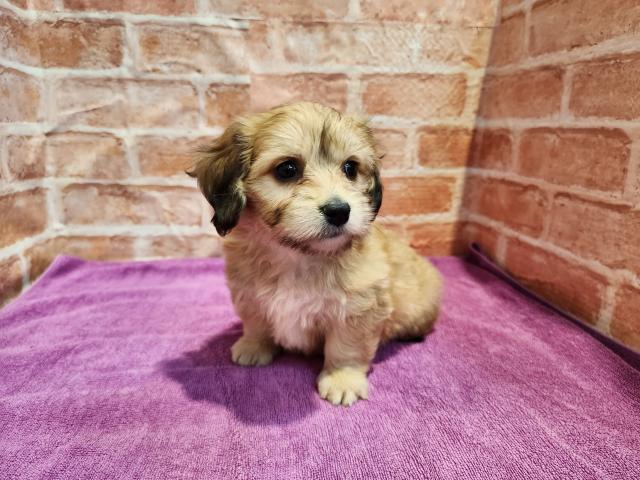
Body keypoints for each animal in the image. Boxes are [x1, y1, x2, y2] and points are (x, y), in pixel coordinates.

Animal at [188, 102, 442, 406]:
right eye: (287, 169)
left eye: (350, 168)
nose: (340, 211)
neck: (299, 254)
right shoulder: (249, 294)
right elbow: (256, 323)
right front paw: (253, 347)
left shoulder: (360, 308)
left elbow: (346, 348)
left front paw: (342, 379)